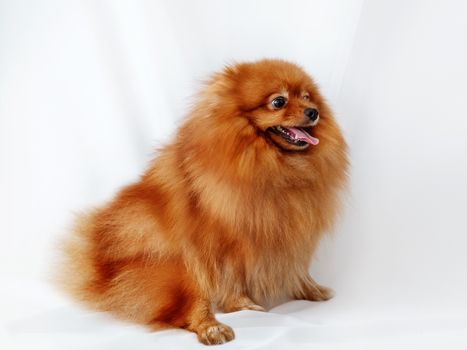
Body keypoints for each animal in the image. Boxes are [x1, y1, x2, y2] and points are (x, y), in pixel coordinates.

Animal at [55, 58, 348, 344]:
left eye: (307, 97)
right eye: (278, 101)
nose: (313, 112)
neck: (273, 165)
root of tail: (99, 266)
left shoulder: (292, 231)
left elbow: (297, 267)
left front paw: (310, 288)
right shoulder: (226, 240)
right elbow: (232, 276)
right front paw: (241, 303)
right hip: (174, 272)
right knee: (189, 308)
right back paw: (212, 327)